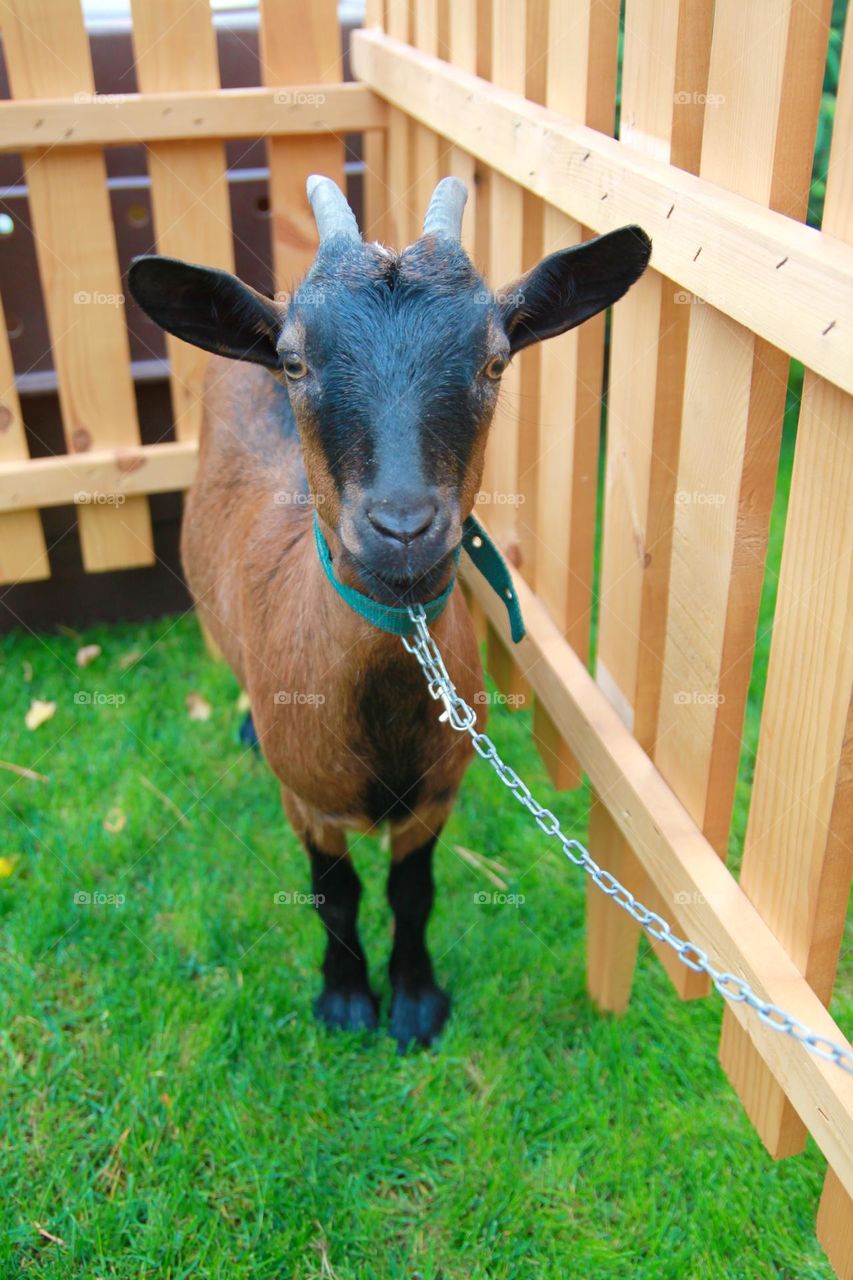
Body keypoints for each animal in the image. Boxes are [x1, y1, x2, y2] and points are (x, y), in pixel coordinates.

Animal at [126, 172, 648, 1049]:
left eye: (495, 359)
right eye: (295, 361)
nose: (402, 527)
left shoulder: (437, 794)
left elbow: (412, 893)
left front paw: (413, 1002)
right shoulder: (306, 801)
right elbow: (335, 895)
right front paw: (344, 1001)